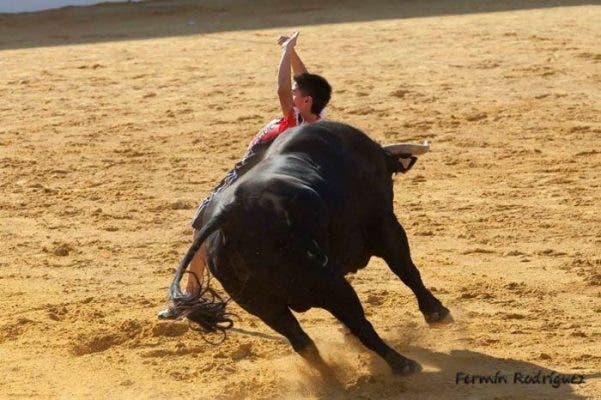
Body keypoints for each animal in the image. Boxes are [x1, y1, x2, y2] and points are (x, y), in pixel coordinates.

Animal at [166, 121, 448, 376]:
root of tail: (231, 214)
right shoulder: (385, 226)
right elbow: (407, 271)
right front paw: (437, 312)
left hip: (262, 304)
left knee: (303, 342)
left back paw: (330, 378)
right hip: (328, 284)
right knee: (359, 323)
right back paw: (402, 364)